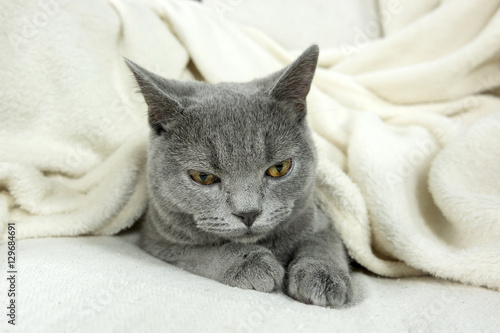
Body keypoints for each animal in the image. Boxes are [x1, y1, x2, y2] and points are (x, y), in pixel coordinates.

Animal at [124, 44, 352, 306]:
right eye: (203, 177)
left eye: (279, 168)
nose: (248, 213)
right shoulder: (158, 242)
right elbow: (204, 251)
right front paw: (251, 263)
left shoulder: (321, 219)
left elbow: (323, 241)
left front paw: (323, 275)